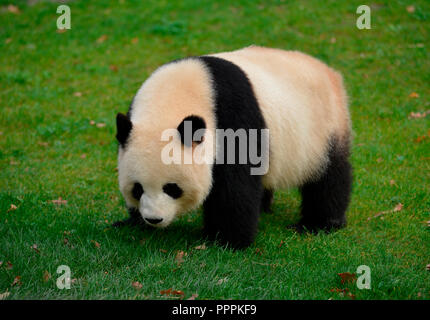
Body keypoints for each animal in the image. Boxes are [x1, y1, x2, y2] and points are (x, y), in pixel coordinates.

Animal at [112, 45, 352, 250]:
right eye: (137, 188)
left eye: (172, 188)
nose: (154, 219)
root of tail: (328, 71)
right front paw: (131, 222)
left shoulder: (232, 119)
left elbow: (235, 186)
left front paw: (227, 239)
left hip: (322, 127)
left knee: (329, 177)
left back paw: (318, 223)